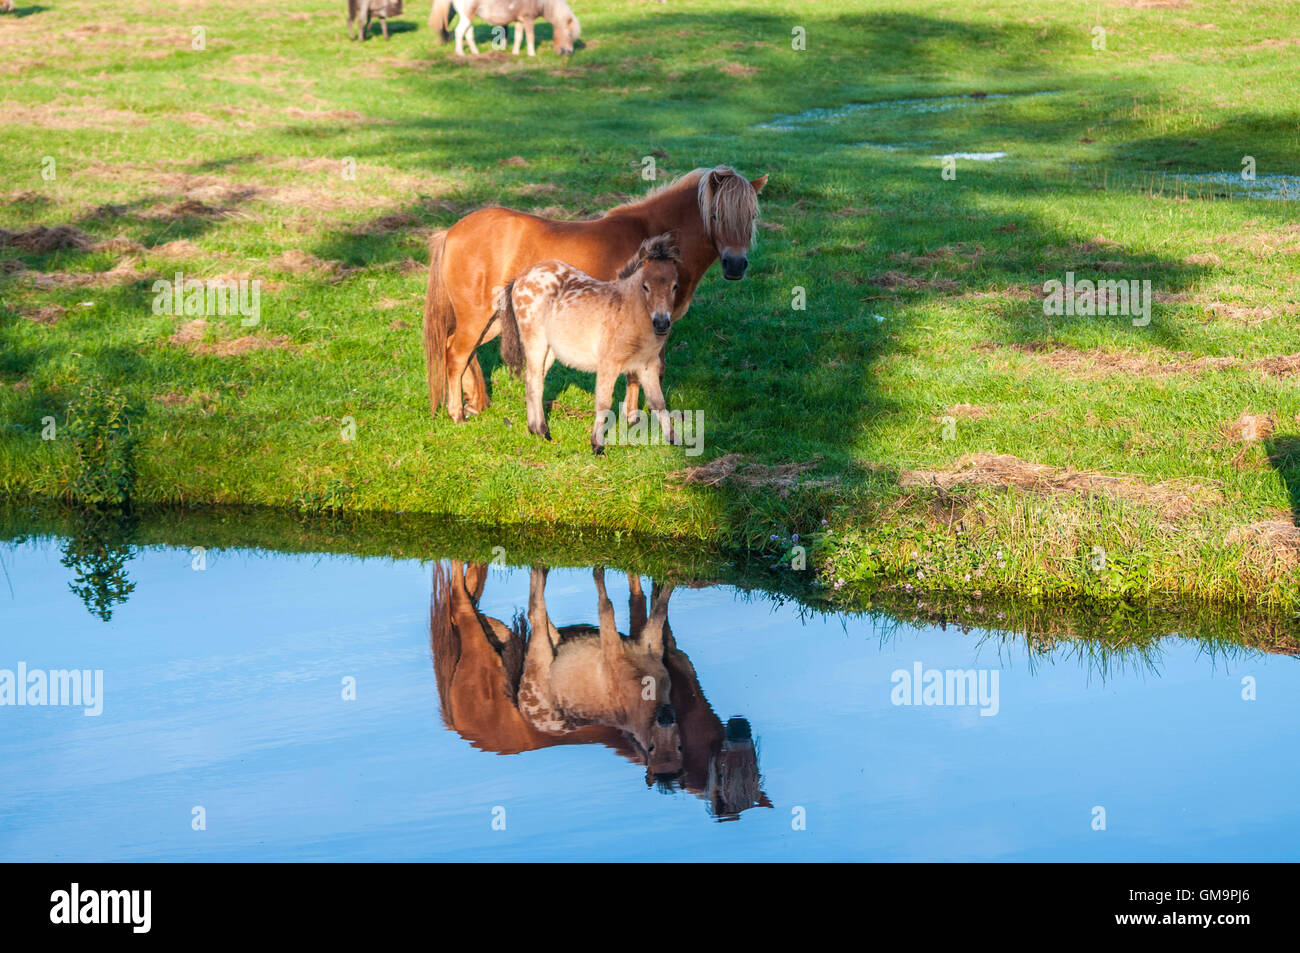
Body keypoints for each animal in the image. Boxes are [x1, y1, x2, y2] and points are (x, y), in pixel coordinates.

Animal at [421, 165, 764, 421]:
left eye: (752, 216)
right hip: (476, 315)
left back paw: (474, 404)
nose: (735, 265)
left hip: (492, 318)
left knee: (462, 351)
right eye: (717, 216)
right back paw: (456, 414)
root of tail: (451, 232)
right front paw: (632, 419)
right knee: (456, 353)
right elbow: (639, 372)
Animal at [428, 0, 582, 56]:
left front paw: (515, 53)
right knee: (459, 32)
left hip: (468, 18)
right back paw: (460, 53)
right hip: (466, 17)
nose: (569, 53)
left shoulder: (520, 21)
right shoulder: (528, 20)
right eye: (569, 35)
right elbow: (530, 37)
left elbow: (519, 37)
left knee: (468, 34)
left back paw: (476, 53)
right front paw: (532, 54)